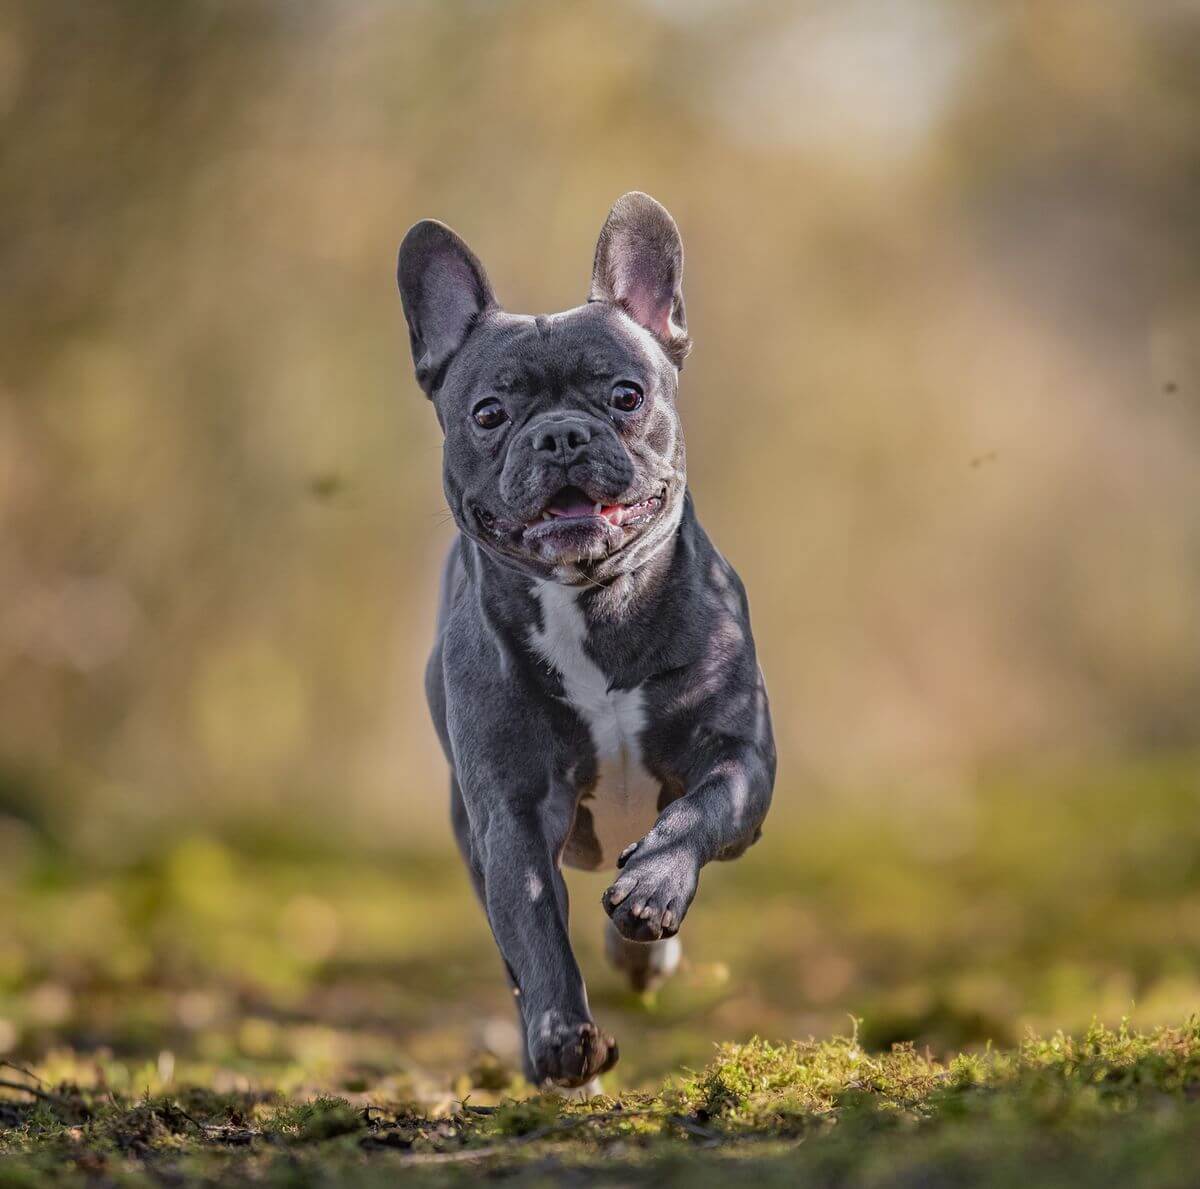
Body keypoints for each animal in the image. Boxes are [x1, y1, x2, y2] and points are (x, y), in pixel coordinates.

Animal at [396, 193, 777, 1089]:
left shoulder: (740, 757)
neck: (592, 602)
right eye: (489, 413)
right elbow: (535, 928)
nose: (561, 434)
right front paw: (562, 1033)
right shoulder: (513, 816)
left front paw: (653, 890)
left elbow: (700, 810)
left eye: (626, 394)